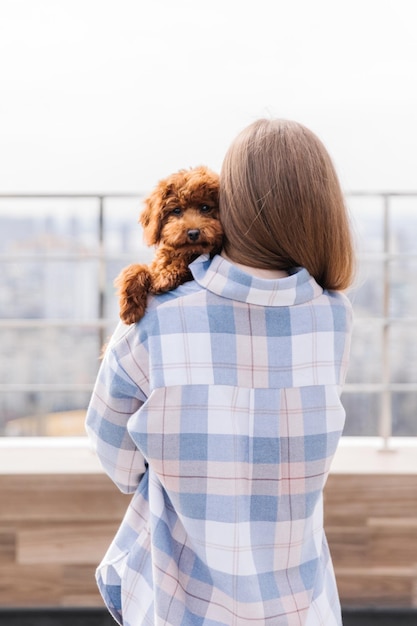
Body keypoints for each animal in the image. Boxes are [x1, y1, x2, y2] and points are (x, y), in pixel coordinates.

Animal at [114, 163, 223, 324]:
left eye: (205, 208)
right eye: (176, 210)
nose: (193, 233)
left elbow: (185, 264)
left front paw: (164, 279)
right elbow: (136, 268)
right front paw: (130, 308)